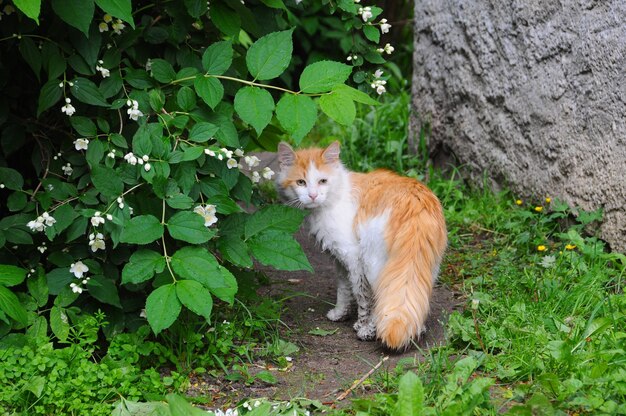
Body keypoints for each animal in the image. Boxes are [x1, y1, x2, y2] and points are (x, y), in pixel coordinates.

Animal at [276, 141, 446, 350]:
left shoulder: (353, 257)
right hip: (426, 268)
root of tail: (415, 205)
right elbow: (343, 290)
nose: (313, 195)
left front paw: (364, 327)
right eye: (301, 182)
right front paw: (340, 313)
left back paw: (372, 329)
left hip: (373, 264)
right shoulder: (339, 260)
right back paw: (417, 329)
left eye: (322, 181)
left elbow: (363, 297)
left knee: (381, 297)